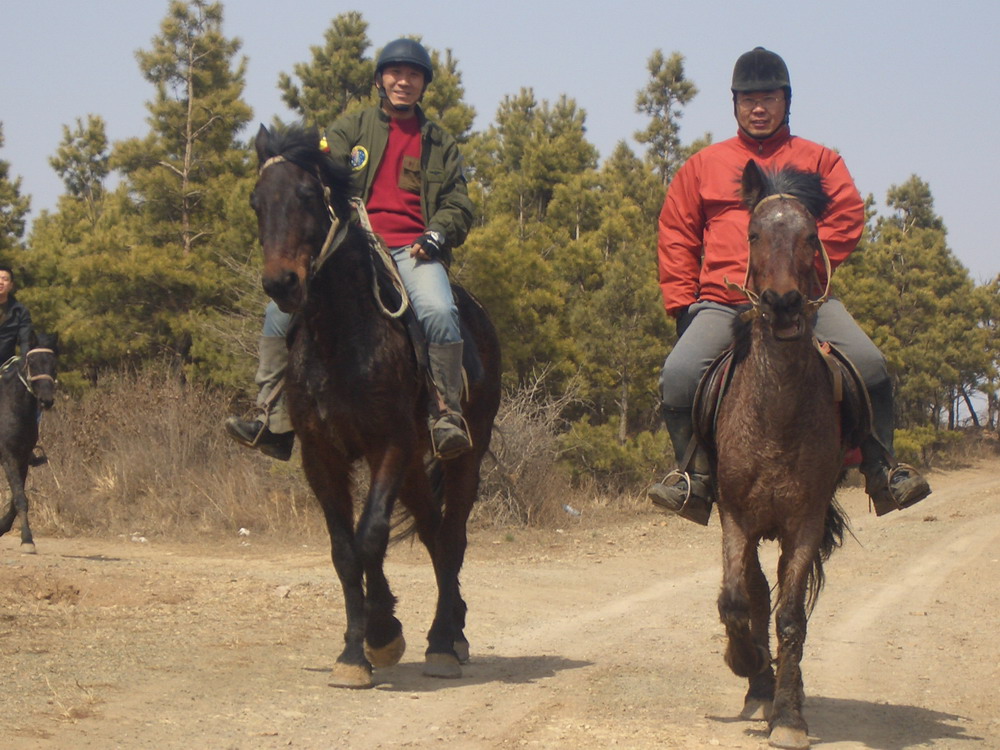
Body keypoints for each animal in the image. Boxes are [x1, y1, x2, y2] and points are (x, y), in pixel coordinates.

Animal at [0, 332, 58, 556]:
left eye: (53, 363)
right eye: (32, 362)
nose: (46, 401)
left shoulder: (22, 458)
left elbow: (17, 498)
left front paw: (2, 527)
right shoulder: (8, 456)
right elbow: (19, 497)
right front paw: (27, 540)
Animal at [250, 126, 500, 692]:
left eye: (307, 196)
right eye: (257, 203)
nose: (282, 285)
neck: (340, 337)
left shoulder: (388, 445)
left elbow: (370, 536)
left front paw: (380, 634)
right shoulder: (321, 455)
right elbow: (346, 550)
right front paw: (362, 645)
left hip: (463, 458)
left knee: (451, 538)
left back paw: (444, 643)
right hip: (412, 470)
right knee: (432, 533)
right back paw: (449, 631)